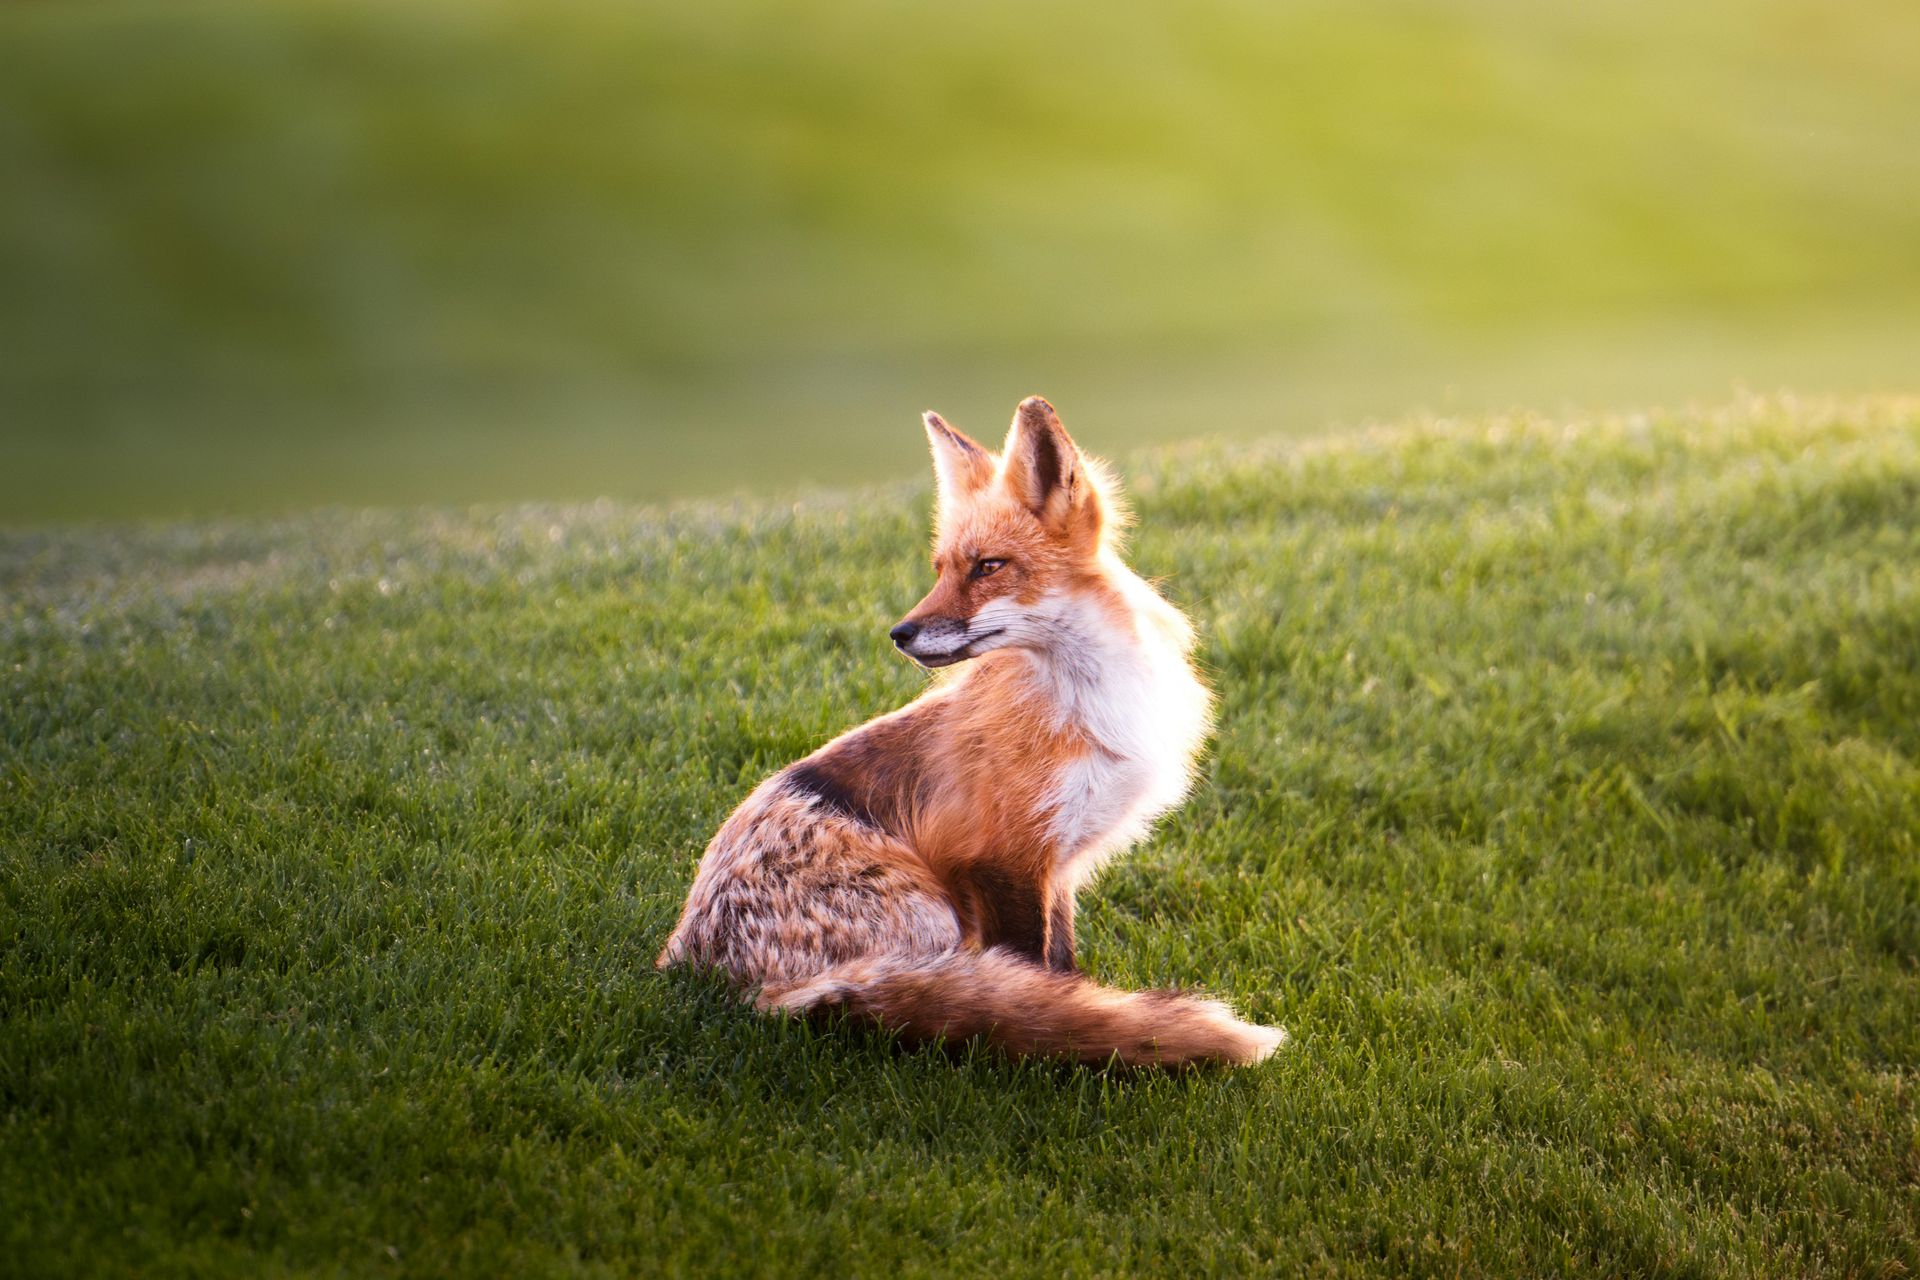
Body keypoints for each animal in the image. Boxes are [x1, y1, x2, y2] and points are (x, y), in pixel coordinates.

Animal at [657, 396, 1285, 1067]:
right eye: (941, 569)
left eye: (988, 567)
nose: (899, 634)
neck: (1086, 704)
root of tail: (719, 983)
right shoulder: (999, 858)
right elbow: (1040, 979)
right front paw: (1058, 1036)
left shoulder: (1056, 864)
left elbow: (1062, 968)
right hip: (933, 922)